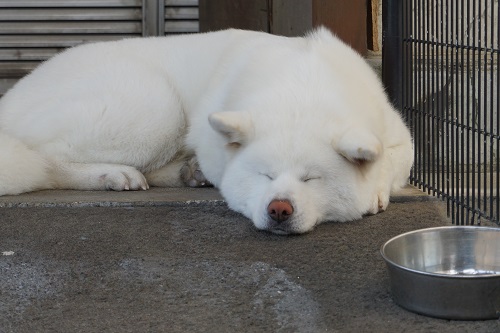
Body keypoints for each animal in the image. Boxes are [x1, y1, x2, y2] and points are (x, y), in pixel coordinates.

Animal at [0, 28, 414, 233]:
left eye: (312, 179)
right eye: (265, 175)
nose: (279, 208)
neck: (303, 89)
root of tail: (13, 95)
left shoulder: (399, 137)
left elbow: (391, 159)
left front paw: (376, 189)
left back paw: (186, 172)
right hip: (156, 104)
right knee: (45, 162)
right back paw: (114, 175)